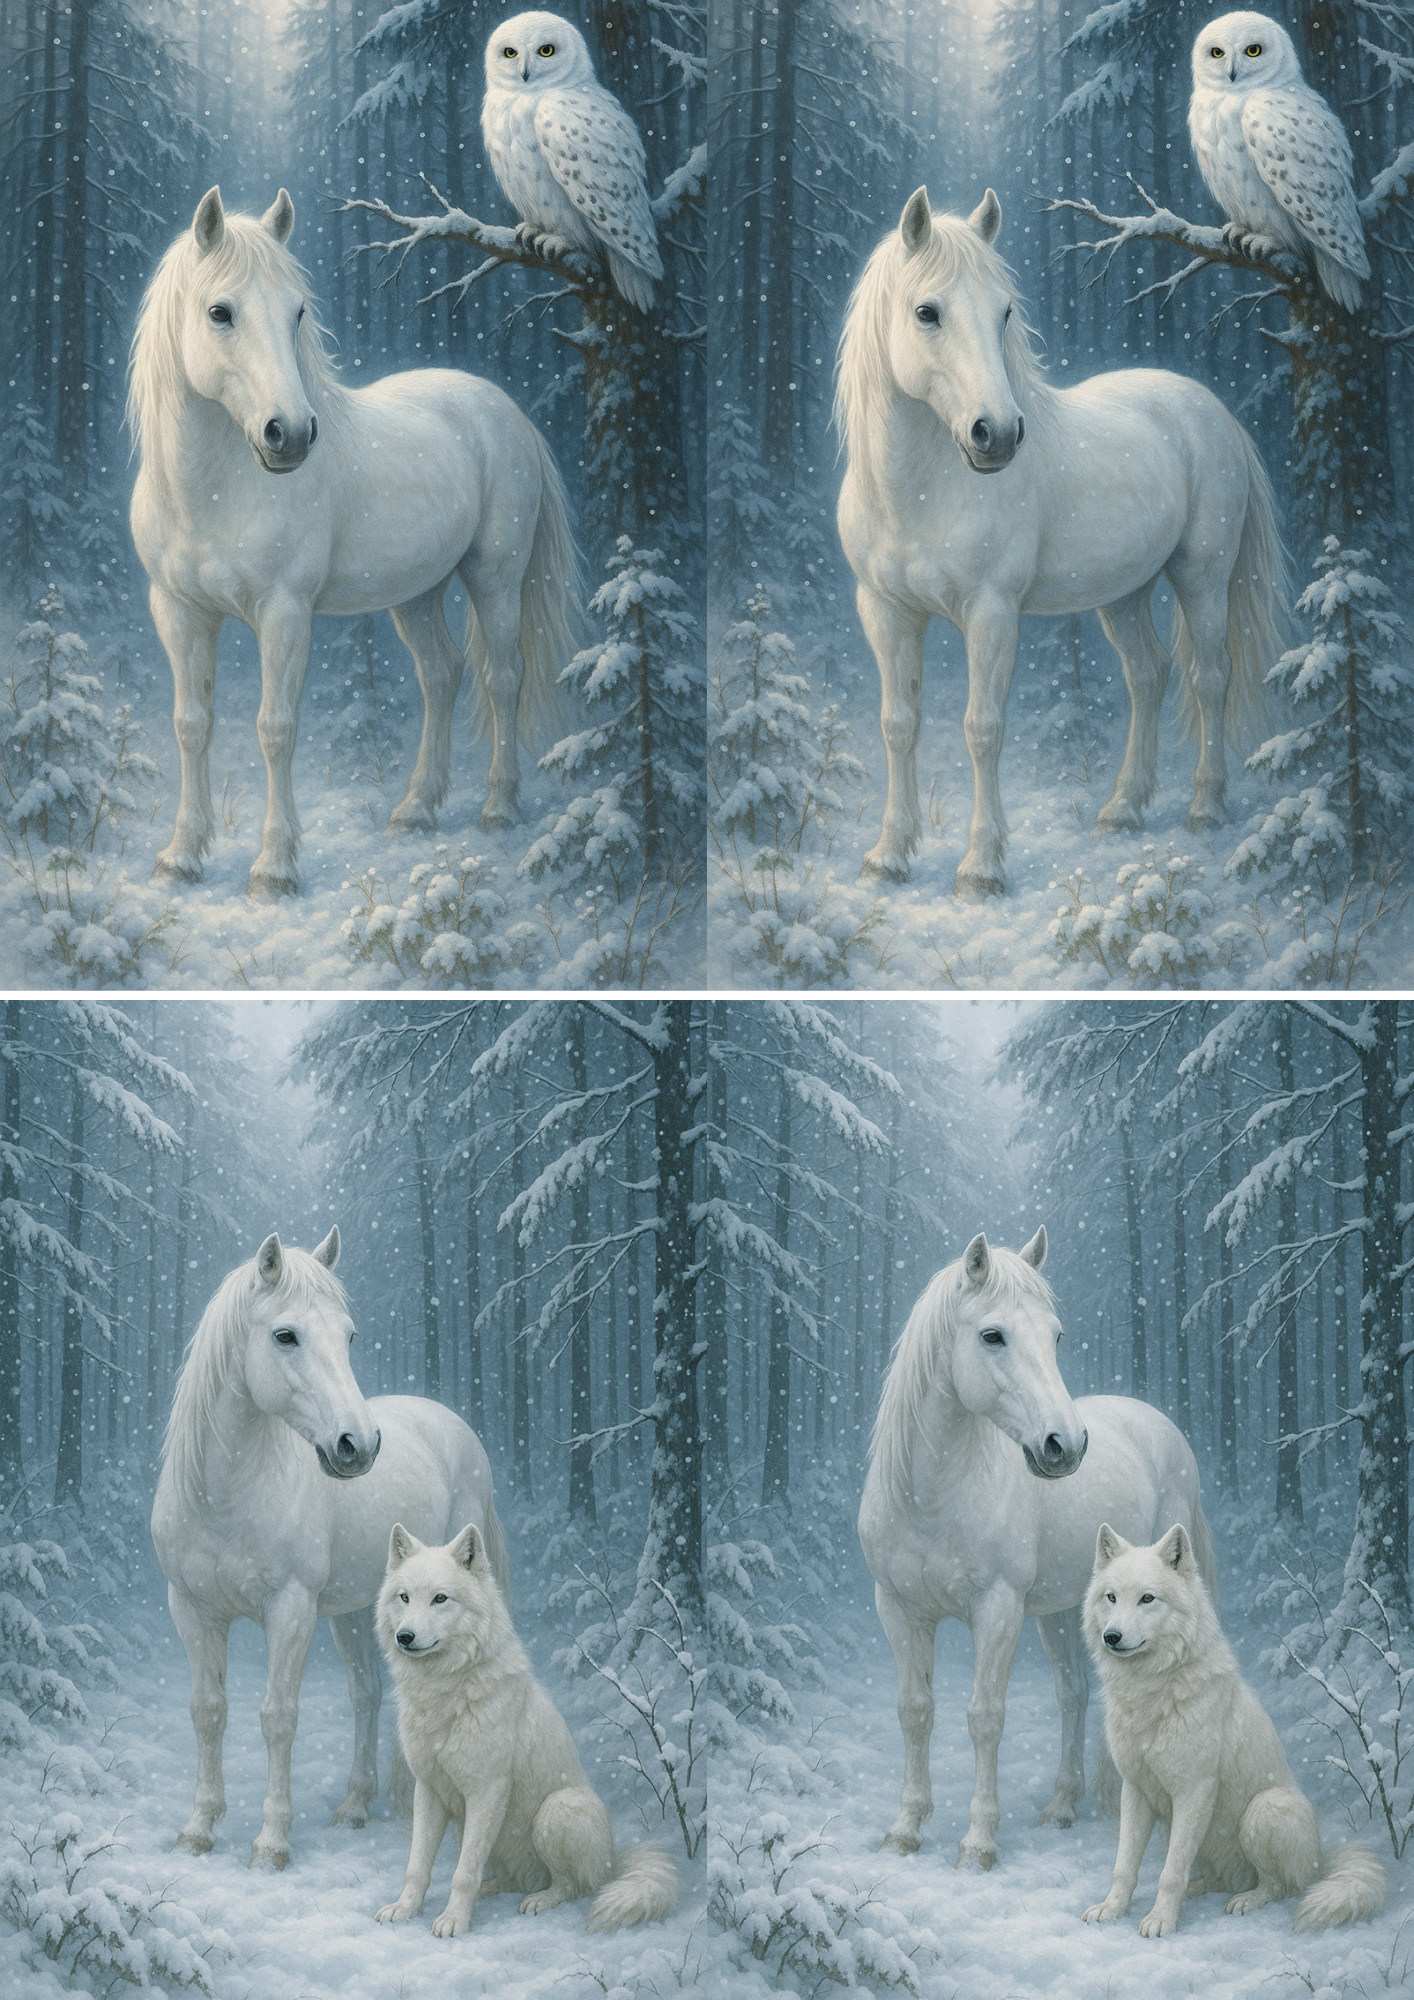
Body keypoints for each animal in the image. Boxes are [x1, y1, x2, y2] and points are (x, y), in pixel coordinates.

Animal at [128, 186, 580, 900]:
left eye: (297, 312)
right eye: (219, 312)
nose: (290, 434)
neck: (213, 494)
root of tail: (504, 409)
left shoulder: (285, 613)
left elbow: (275, 728)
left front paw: (274, 869)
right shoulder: (178, 611)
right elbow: (190, 724)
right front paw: (180, 857)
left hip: (496, 578)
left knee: (502, 677)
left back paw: (499, 808)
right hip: (417, 592)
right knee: (441, 674)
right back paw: (415, 810)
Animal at [150, 1227, 511, 1870]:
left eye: (349, 1336)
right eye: (285, 1335)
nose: (358, 1445)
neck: (224, 1498)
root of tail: (450, 1423)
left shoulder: (290, 1610)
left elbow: (277, 1717)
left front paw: (271, 1843)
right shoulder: (191, 1609)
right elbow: (207, 1711)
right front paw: (198, 1829)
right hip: (355, 1611)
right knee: (367, 1695)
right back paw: (356, 1805)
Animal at [834, 186, 1288, 898]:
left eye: (1004, 312)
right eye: (926, 312)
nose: (997, 434)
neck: (919, 494)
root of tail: (1212, 410)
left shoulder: (992, 613)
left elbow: (982, 728)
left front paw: (981, 868)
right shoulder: (885, 611)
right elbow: (897, 724)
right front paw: (887, 857)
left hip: (1203, 578)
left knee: (1209, 677)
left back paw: (1205, 808)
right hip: (1124, 592)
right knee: (1147, 674)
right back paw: (1122, 810)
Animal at [857, 1227, 1216, 1870]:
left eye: (1056, 1336)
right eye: (992, 1335)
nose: (1065, 1445)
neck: (931, 1498)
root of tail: (1157, 1423)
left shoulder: (997, 1610)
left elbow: (984, 1716)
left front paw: (978, 1842)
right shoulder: (898, 1609)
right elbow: (915, 1711)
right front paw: (905, 1829)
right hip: (1062, 1611)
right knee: (1074, 1694)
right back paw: (1063, 1806)